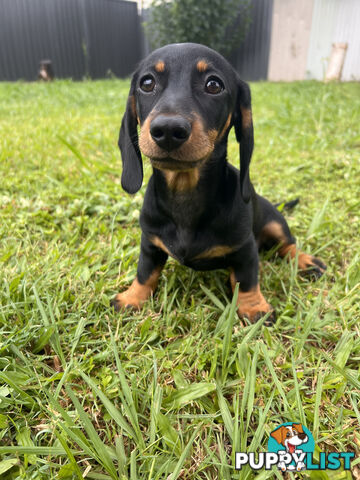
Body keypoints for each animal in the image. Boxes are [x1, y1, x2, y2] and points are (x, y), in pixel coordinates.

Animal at [112, 43, 326, 322]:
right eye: (147, 83)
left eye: (214, 85)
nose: (168, 130)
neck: (185, 194)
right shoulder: (150, 242)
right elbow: (145, 272)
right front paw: (132, 297)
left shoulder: (246, 249)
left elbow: (247, 279)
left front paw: (253, 307)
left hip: (275, 222)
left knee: (288, 245)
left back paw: (305, 261)